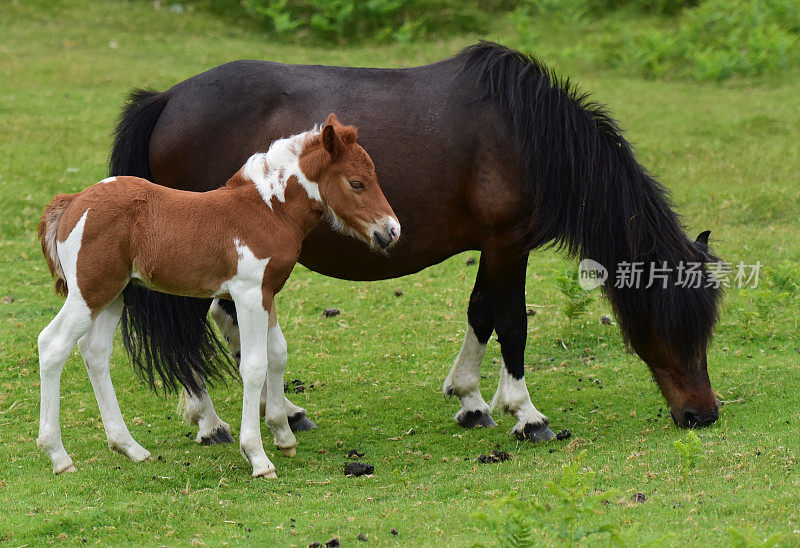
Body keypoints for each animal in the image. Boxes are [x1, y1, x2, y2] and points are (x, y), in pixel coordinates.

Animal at [37, 114, 400, 476]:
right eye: (357, 183)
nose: (392, 230)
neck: (268, 211)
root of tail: (73, 202)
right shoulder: (248, 294)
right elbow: (254, 364)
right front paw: (257, 456)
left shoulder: (268, 292)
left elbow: (278, 353)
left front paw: (283, 434)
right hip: (89, 292)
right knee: (52, 345)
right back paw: (58, 456)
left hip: (116, 295)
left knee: (95, 351)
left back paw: (129, 447)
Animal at [108, 41, 724, 446]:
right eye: (672, 324)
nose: (704, 414)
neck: (524, 133)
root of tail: (168, 98)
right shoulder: (508, 244)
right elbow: (512, 323)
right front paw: (526, 414)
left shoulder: (495, 246)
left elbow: (481, 313)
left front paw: (472, 400)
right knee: (189, 326)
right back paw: (211, 420)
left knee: (225, 319)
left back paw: (280, 411)